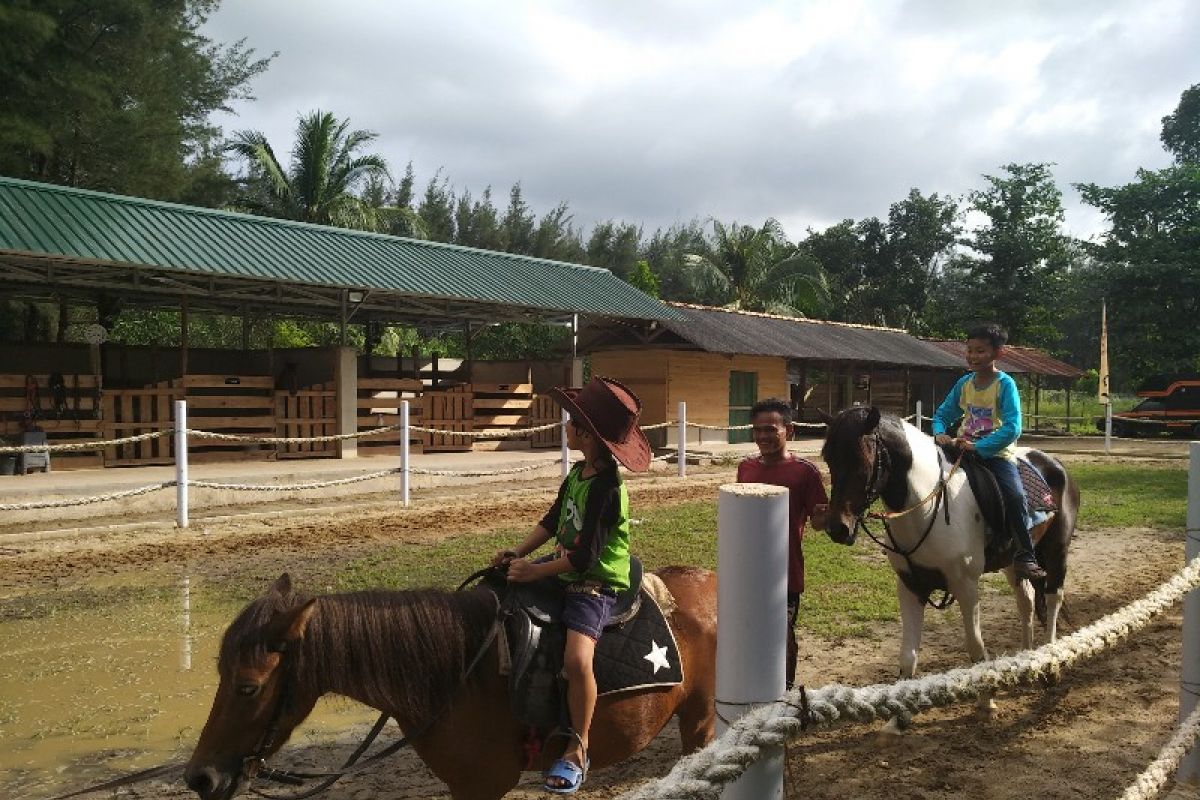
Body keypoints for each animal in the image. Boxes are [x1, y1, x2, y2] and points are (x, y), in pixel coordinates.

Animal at [825, 407, 1080, 724]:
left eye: (861, 459)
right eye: (828, 459)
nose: (837, 528)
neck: (925, 504)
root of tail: (1054, 463)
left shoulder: (965, 584)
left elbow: (975, 645)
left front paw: (987, 701)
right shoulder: (910, 586)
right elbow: (908, 654)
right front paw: (897, 719)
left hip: (1057, 552)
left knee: (1053, 598)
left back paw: (1050, 665)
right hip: (1015, 561)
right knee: (1028, 602)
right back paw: (1028, 661)